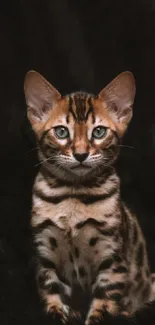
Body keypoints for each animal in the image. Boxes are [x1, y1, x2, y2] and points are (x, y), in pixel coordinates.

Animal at [23, 71, 154, 324]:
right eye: (62, 132)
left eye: (99, 132)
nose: (81, 154)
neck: (73, 195)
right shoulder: (45, 254)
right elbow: (51, 293)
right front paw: (59, 313)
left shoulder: (112, 259)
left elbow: (103, 305)